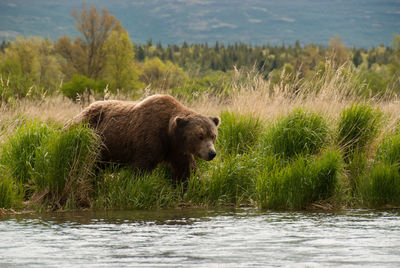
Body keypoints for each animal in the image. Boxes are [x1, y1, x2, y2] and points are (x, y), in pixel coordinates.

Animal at [67, 94, 220, 182]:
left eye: (213, 136)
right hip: (91, 135)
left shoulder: (177, 149)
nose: (211, 153)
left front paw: (194, 182)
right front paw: (137, 182)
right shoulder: (150, 137)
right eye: (200, 136)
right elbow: (142, 166)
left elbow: (186, 169)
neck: (170, 134)